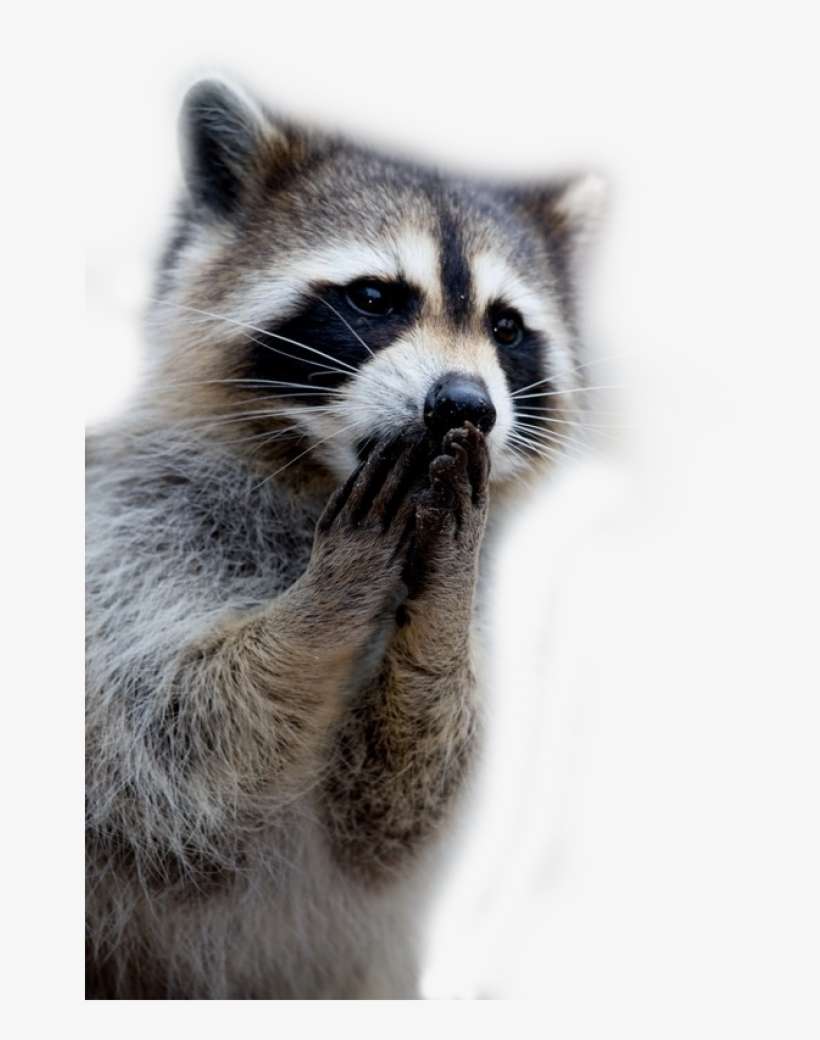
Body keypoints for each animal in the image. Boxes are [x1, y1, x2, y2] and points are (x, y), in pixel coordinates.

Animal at [85, 79, 603, 999]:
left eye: (506, 328)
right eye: (373, 298)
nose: (465, 405)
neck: (320, 485)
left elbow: (389, 815)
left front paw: (436, 615)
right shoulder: (129, 535)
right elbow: (161, 755)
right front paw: (328, 600)